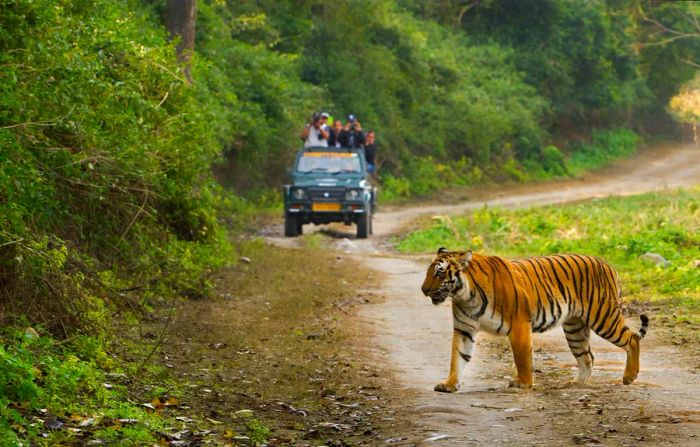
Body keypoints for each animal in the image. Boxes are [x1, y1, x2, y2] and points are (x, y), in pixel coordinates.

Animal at [418, 248, 648, 392]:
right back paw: (576, 383)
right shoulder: (464, 329)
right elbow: (457, 357)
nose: (423, 290)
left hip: (603, 317)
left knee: (632, 338)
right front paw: (449, 384)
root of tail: (607, 264)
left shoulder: (519, 324)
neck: (465, 296)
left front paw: (523, 383)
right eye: (429, 272)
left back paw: (629, 377)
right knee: (587, 356)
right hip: (575, 328)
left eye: (439, 273)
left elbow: (522, 357)